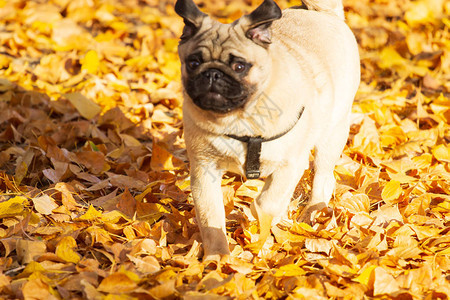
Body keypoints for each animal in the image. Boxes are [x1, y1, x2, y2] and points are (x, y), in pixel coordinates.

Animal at [174, 0, 360, 260]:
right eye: (193, 63)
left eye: (239, 66)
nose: (212, 74)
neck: (237, 119)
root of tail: (324, 14)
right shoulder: (204, 172)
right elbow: (210, 218)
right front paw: (217, 259)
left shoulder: (288, 166)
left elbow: (265, 203)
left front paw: (257, 216)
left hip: (331, 137)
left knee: (322, 179)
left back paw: (310, 213)